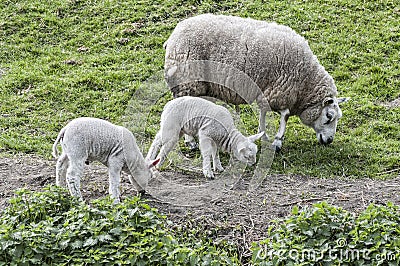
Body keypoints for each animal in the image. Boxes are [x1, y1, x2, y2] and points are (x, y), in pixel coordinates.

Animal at [164, 13, 348, 151]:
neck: (305, 82)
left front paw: (264, 134)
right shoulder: (280, 90)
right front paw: (277, 141)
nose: (329, 140)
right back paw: (190, 142)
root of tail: (174, 34)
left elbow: (264, 112)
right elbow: (285, 115)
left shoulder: (268, 90)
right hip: (188, 79)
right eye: (329, 116)